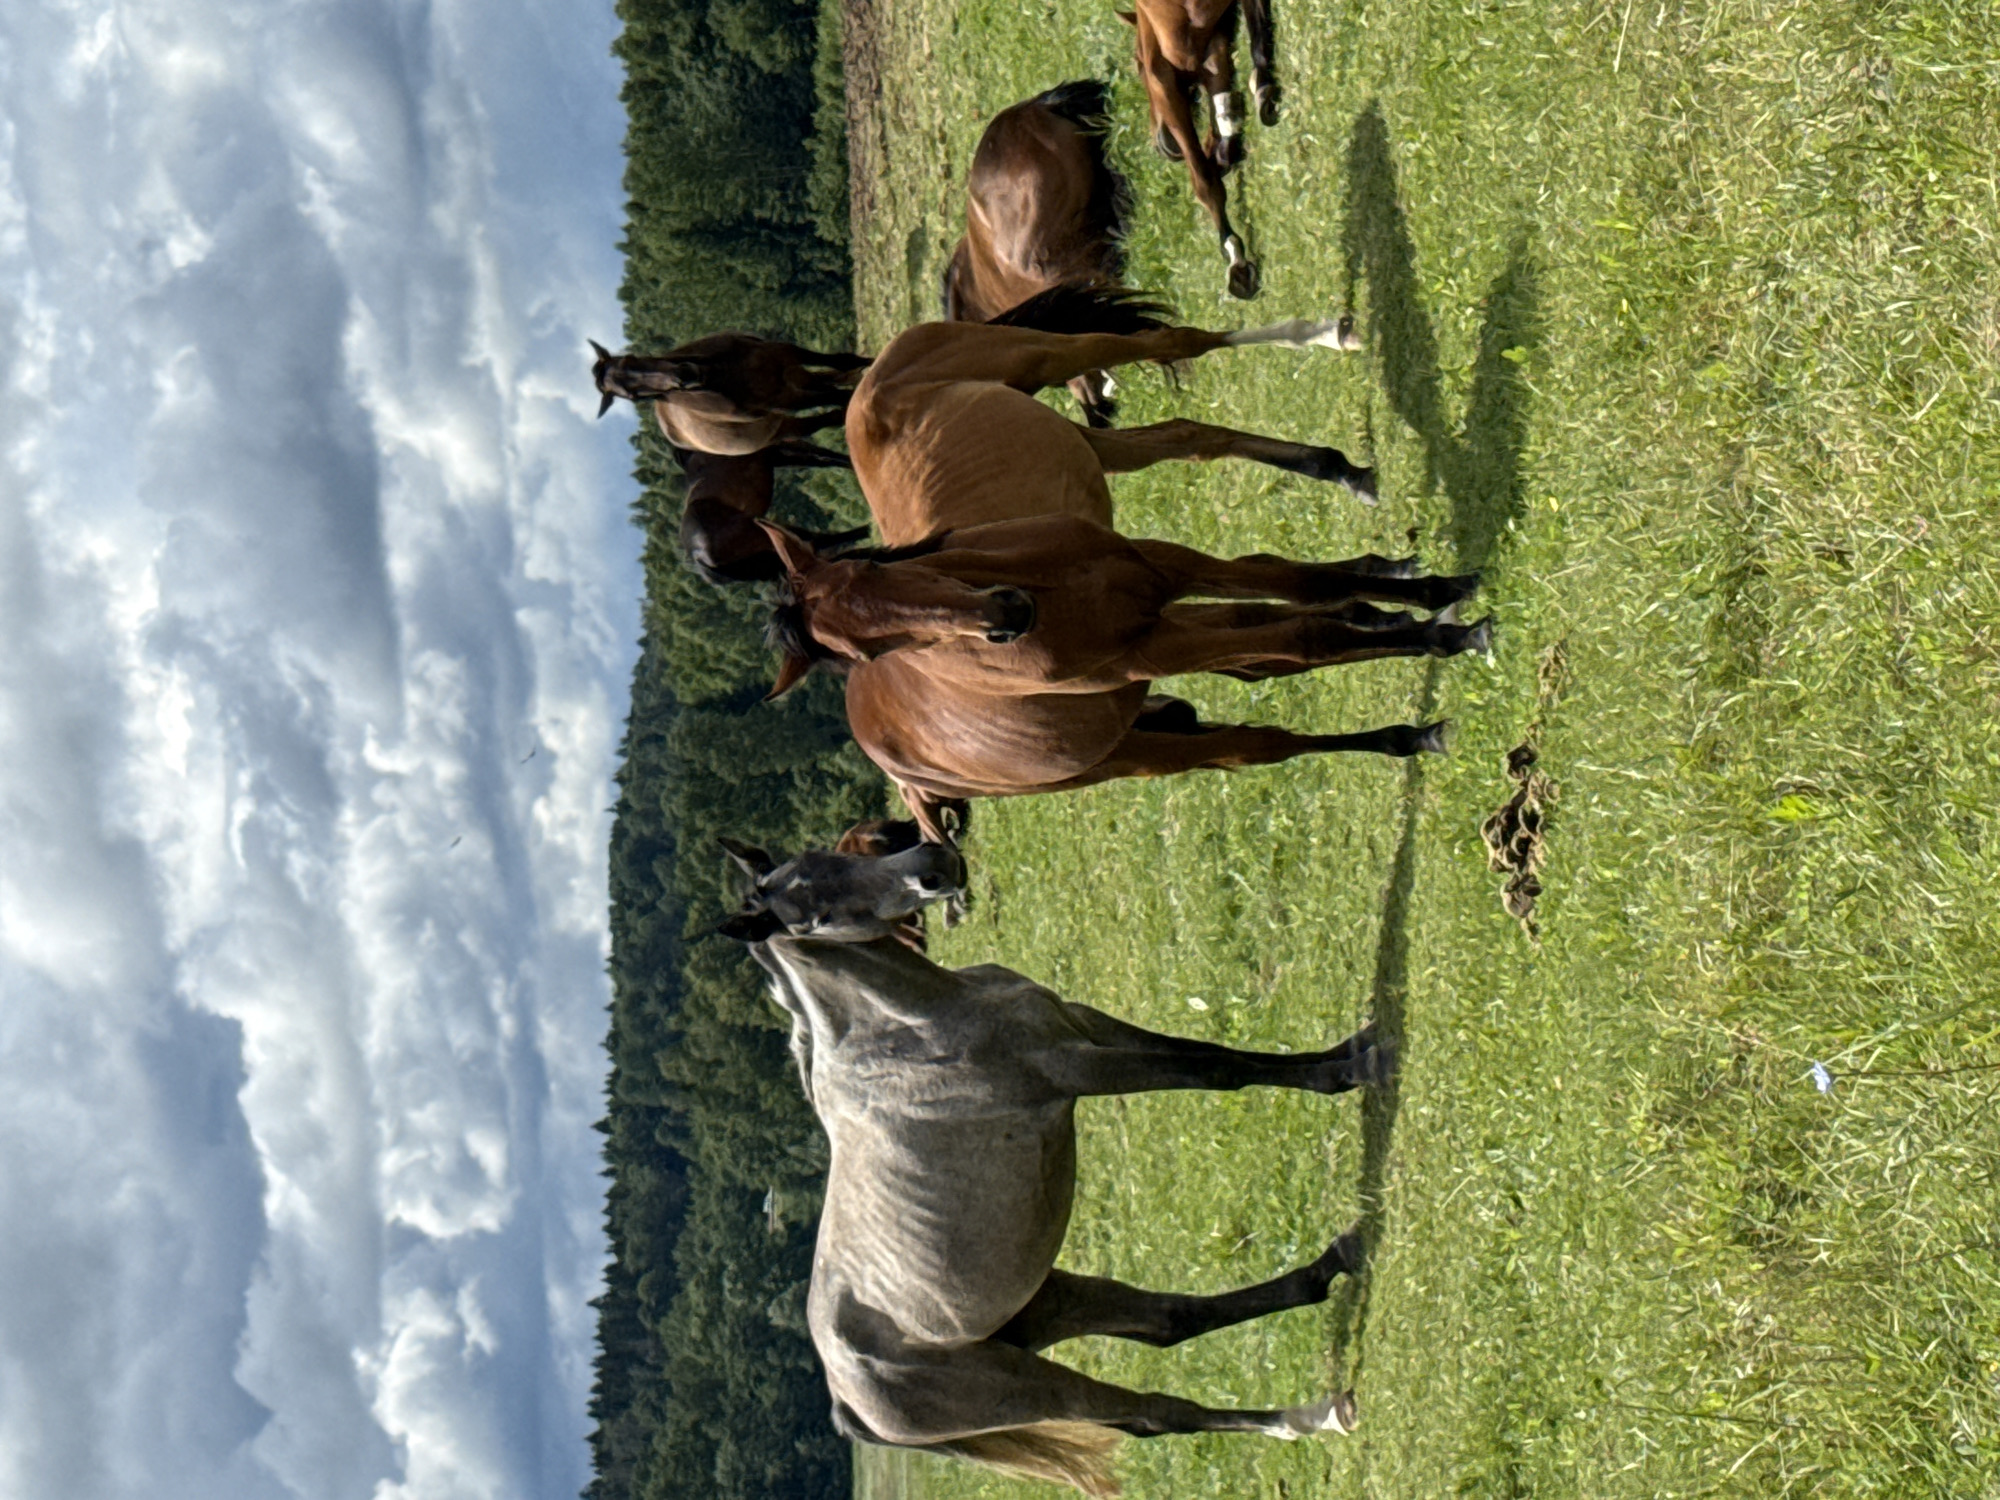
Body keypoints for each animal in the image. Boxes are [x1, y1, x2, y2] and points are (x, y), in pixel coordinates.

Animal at [590, 333, 869, 456]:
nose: (684, 376)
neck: (723, 374)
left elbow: (840, 361)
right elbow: (834, 399)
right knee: (824, 415)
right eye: (633, 396)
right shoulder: (784, 401)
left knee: (827, 384)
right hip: (784, 422)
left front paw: (869, 363)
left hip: (790, 377)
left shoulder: (784, 355)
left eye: (631, 357)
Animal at [714, 834, 1383, 1496]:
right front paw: (1357, 1068)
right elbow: (1221, 1071)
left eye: (834, 856)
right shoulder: (1077, 1069)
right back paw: (1310, 1415)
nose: (933, 867)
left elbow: (1208, 1050)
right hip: (1026, 1386)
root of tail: (848, 1401)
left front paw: (1357, 1046)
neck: (908, 1027)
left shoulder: (1081, 1022)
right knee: (1155, 1413)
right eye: (814, 917)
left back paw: (1332, 1282)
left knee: (1167, 1321)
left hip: (1049, 1304)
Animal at [759, 515, 1489, 843]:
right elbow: (1304, 639)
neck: (1055, 593)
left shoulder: (1165, 570)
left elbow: (1299, 585)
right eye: (867, 649)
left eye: (868, 568)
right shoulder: (1150, 650)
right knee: (1255, 742)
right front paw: (1449, 633)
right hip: (1128, 752)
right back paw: (1409, 731)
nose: (1003, 616)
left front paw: (1439, 590)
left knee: (1257, 655)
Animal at [1118, 0, 1280, 298]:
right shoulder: (1204, 52)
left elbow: (1204, 181)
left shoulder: (1170, 73)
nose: (1162, 144)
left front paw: (1236, 261)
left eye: (1136, 65)